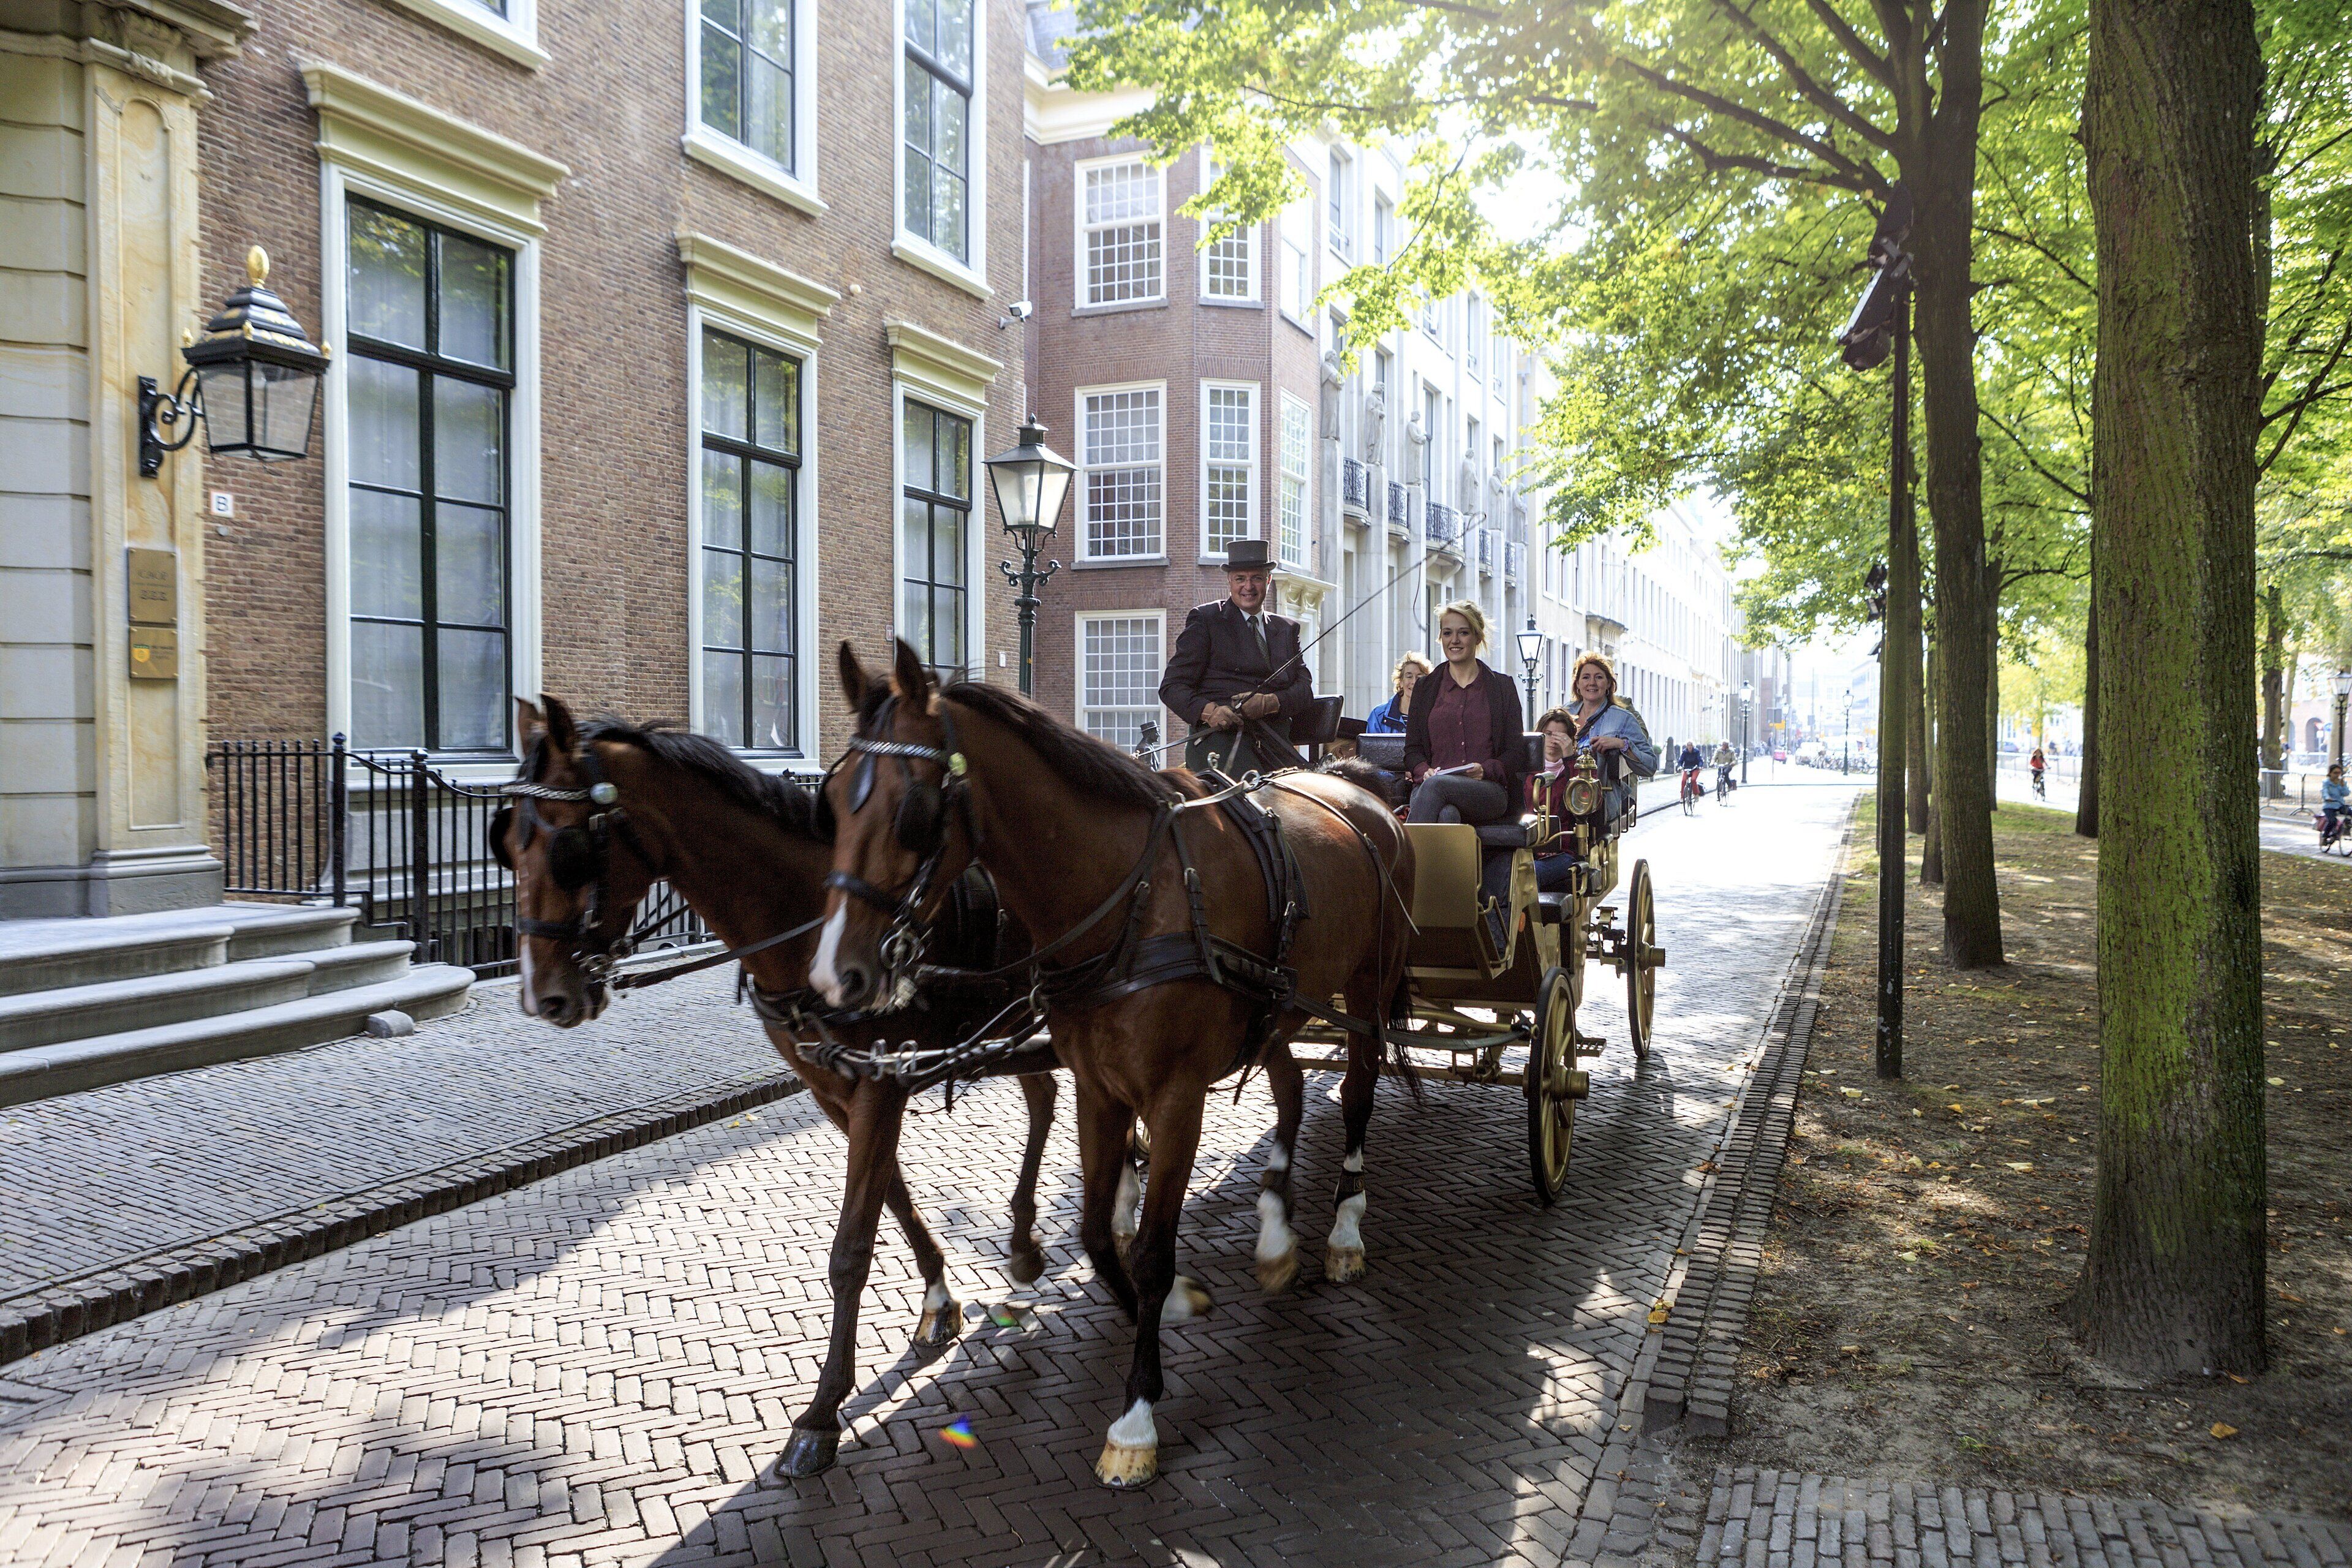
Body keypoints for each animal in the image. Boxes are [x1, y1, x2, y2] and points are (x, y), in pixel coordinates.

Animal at [497, 695, 1062, 1479]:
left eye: (569, 848)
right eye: (506, 844)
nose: (542, 995)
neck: (808, 915)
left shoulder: (880, 1085)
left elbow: (851, 1247)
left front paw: (820, 1414)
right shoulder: (832, 1089)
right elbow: (893, 1197)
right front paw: (938, 1301)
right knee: (1047, 1097)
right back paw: (1034, 1237)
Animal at [810, 640, 1416, 1487]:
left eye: (913, 811)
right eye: (831, 803)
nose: (837, 975)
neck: (1131, 896)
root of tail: (1361, 786)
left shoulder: (1176, 1097)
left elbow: (1155, 1249)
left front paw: (1136, 1416)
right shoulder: (1098, 1088)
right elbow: (1100, 1234)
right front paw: (1165, 1314)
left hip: (1366, 990)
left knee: (1357, 1096)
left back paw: (1344, 1232)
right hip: (1280, 1006)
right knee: (1293, 1089)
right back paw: (1274, 1234)